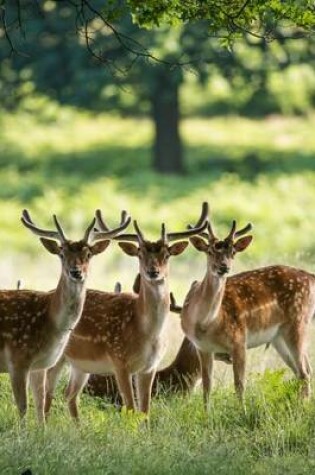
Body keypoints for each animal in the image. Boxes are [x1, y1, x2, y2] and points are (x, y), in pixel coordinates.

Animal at [0, 208, 131, 420]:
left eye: (89, 254)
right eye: (61, 253)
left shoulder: (40, 365)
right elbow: (22, 407)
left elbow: (40, 405)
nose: (75, 272)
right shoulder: (18, 358)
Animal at [45, 203, 210, 418]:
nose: (153, 271)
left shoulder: (149, 367)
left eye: (166, 255)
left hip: (81, 364)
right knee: (46, 388)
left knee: (69, 394)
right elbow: (131, 408)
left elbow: (145, 411)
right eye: (140, 254)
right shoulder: (120, 362)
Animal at [180, 212, 315, 410]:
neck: (206, 323)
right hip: (279, 337)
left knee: (305, 372)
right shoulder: (202, 347)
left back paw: (302, 408)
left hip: (299, 322)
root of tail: (311, 277)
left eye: (233, 252)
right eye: (210, 251)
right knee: (303, 371)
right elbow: (206, 386)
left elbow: (239, 384)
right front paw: (206, 414)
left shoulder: (239, 340)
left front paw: (241, 412)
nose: (224, 267)